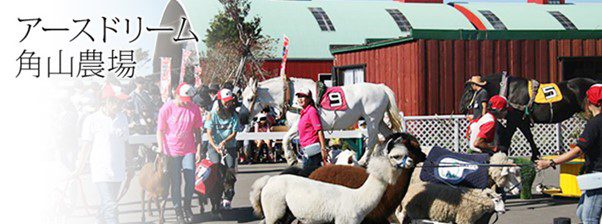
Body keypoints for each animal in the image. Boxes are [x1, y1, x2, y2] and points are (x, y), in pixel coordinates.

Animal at [239, 77, 404, 166]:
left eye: (250, 98)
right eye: (242, 96)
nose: (242, 118)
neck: (292, 95)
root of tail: (381, 88)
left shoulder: (298, 125)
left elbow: (285, 139)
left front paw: (291, 159)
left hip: (372, 119)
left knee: (373, 140)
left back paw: (363, 160)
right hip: (380, 120)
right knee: (389, 135)